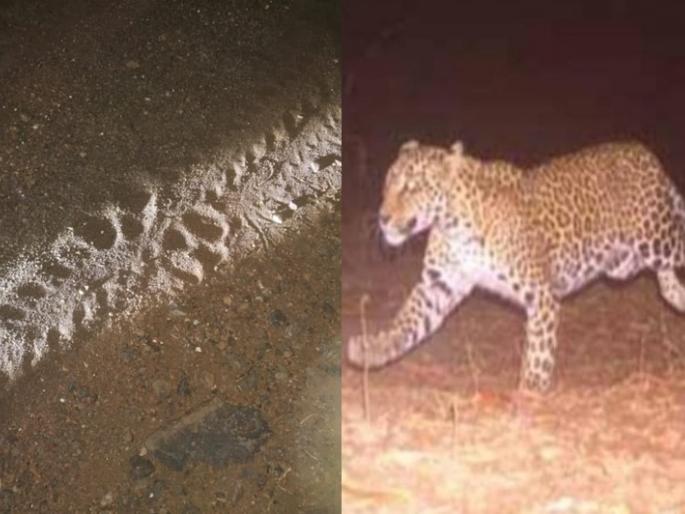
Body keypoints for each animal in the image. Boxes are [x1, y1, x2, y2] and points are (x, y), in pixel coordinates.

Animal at [346, 138, 685, 392]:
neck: (452, 224)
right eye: (388, 183)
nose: (383, 218)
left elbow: (537, 353)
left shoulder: (542, 295)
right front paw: (372, 350)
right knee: (662, 281)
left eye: (413, 187)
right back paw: (679, 296)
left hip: (658, 238)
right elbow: (406, 321)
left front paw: (529, 395)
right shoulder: (439, 284)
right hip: (622, 264)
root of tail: (644, 152)